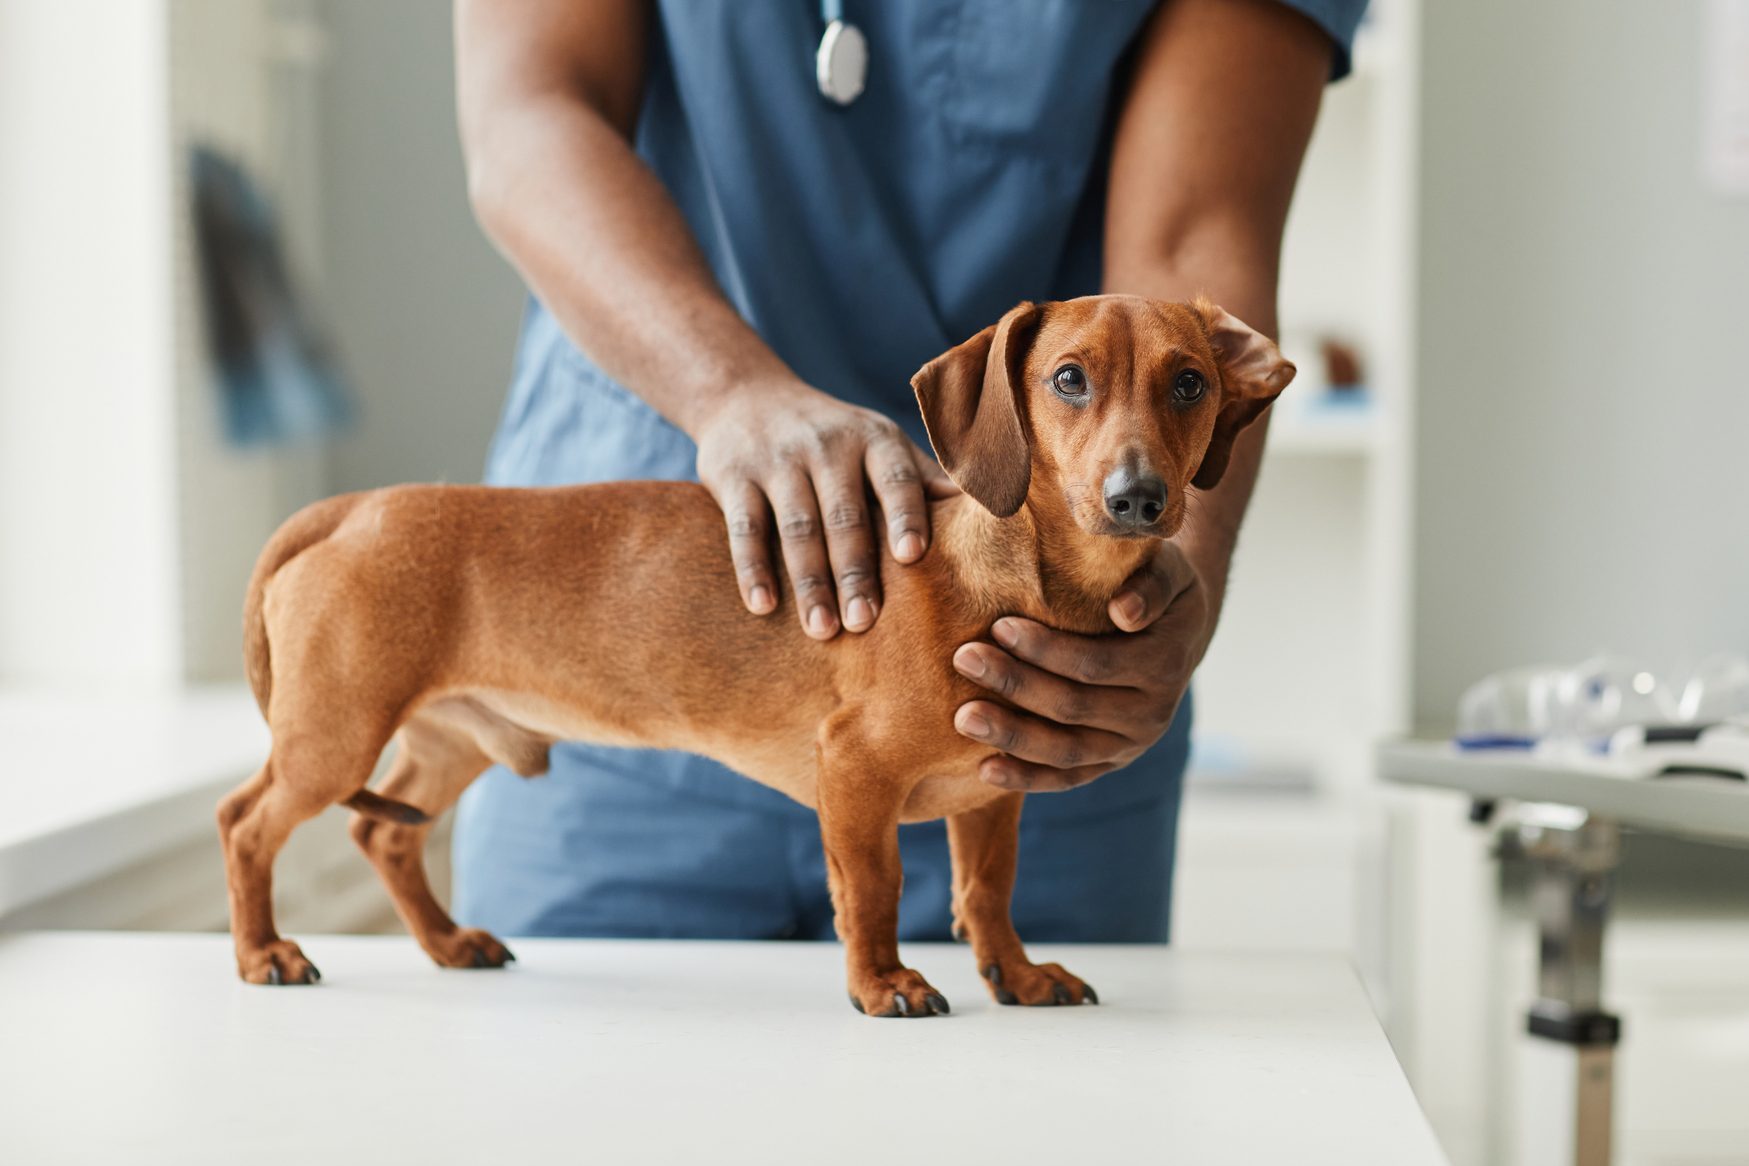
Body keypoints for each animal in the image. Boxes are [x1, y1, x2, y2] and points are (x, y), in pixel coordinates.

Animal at [215, 297, 1287, 1013]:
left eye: (1189, 382)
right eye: (1068, 378)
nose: (1137, 498)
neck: (1005, 578)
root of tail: (353, 509)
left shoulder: (994, 790)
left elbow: (987, 893)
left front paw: (1017, 975)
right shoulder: (853, 774)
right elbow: (875, 891)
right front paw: (883, 983)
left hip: (450, 742)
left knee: (383, 833)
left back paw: (444, 942)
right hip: (333, 736)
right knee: (245, 823)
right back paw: (265, 954)